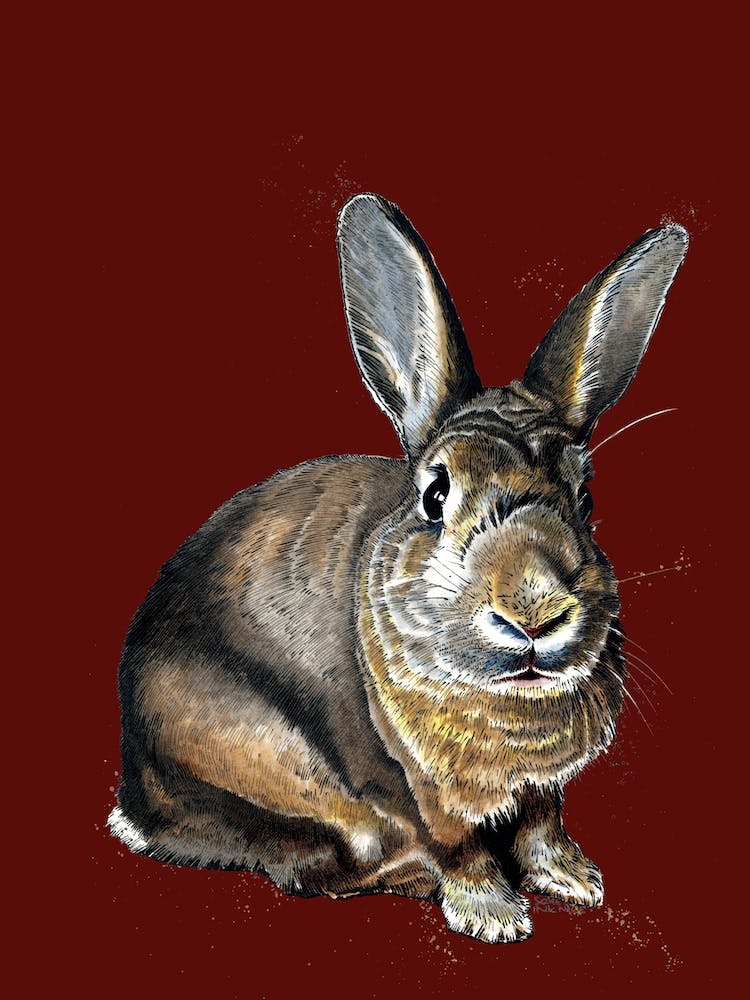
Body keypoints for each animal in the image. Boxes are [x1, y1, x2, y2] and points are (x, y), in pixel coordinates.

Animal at [109, 193, 688, 943]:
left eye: (586, 500)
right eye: (436, 495)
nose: (534, 610)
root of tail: (137, 800)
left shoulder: (543, 792)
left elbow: (541, 827)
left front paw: (575, 881)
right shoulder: (419, 788)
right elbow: (459, 844)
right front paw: (494, 915)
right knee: (312, 869)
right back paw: (416, 876)